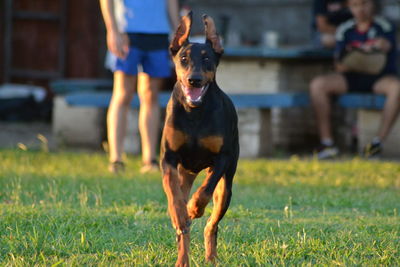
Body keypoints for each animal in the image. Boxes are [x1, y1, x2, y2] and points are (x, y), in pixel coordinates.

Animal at [160, 12, 239, 266]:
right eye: (183, 58)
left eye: (207, 59)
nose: (194, 80)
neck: (194, 112)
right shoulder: (169, 158)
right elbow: (171, 189)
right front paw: (178, 212)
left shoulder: (222, 158)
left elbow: (206, 188)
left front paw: (195, 207)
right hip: (185, 173)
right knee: (183, 229)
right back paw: (182, 257)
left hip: (227, 187)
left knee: (211, 225)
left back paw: (210, 256)